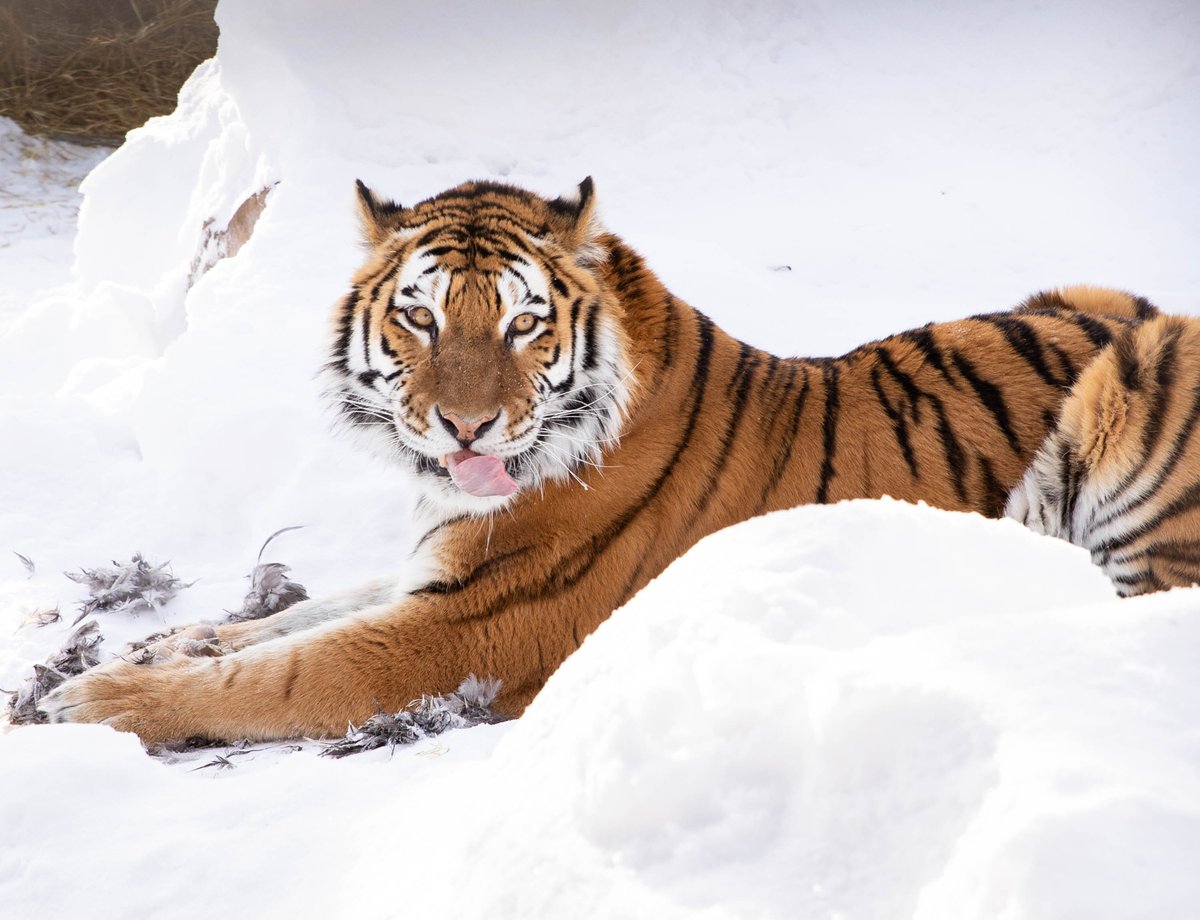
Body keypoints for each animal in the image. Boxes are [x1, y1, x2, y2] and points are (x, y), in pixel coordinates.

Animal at [42, 178, 1160, 744]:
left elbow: (286, 672)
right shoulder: (432, 574)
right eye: (421, 316)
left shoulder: (468, 627)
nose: (464, 428)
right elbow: (295, 618)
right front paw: (167, 643)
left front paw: (94, 703)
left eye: (524, 323)